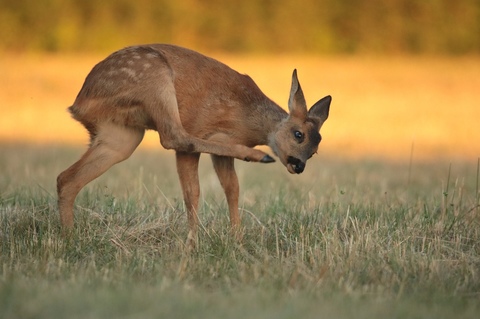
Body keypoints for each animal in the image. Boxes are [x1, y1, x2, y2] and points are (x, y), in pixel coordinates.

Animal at [57, 44, 330, 240]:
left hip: (120, 135)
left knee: (66, 178)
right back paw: (259, 156)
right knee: (174, 137)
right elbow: (193, 191)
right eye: (298, 134)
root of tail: (79, 102)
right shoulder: (201, 125)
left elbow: (232, 189)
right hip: (156, 79)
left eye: (315, 149)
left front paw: (236, 238)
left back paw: (70, 237)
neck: (248, 121)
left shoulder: (222, 154)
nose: (299, 165)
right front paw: (193, 241)